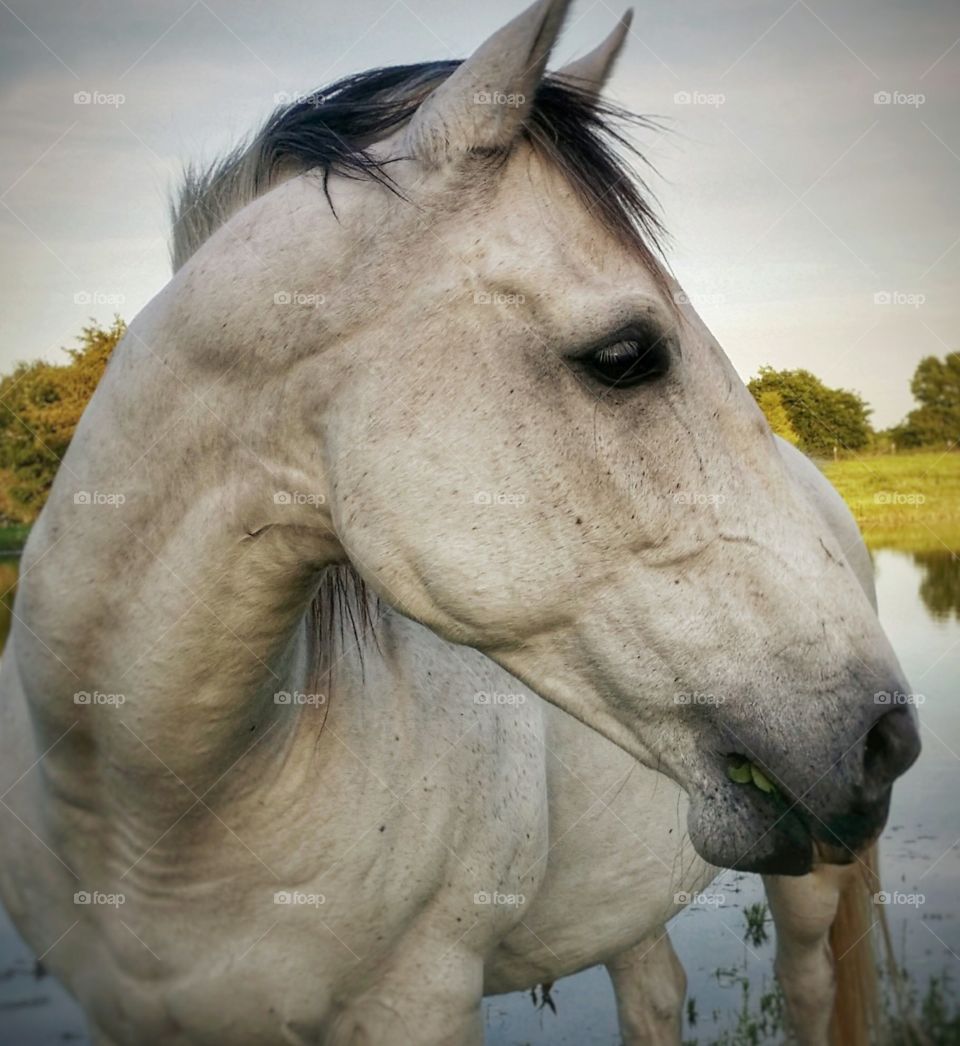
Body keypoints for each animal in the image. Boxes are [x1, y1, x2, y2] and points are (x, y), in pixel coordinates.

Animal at [0, 4, 920, 1041]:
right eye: (623, 355)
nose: (889, 737)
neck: (151, 819)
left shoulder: (420, 998)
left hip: (810, 894)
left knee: (807, 988)